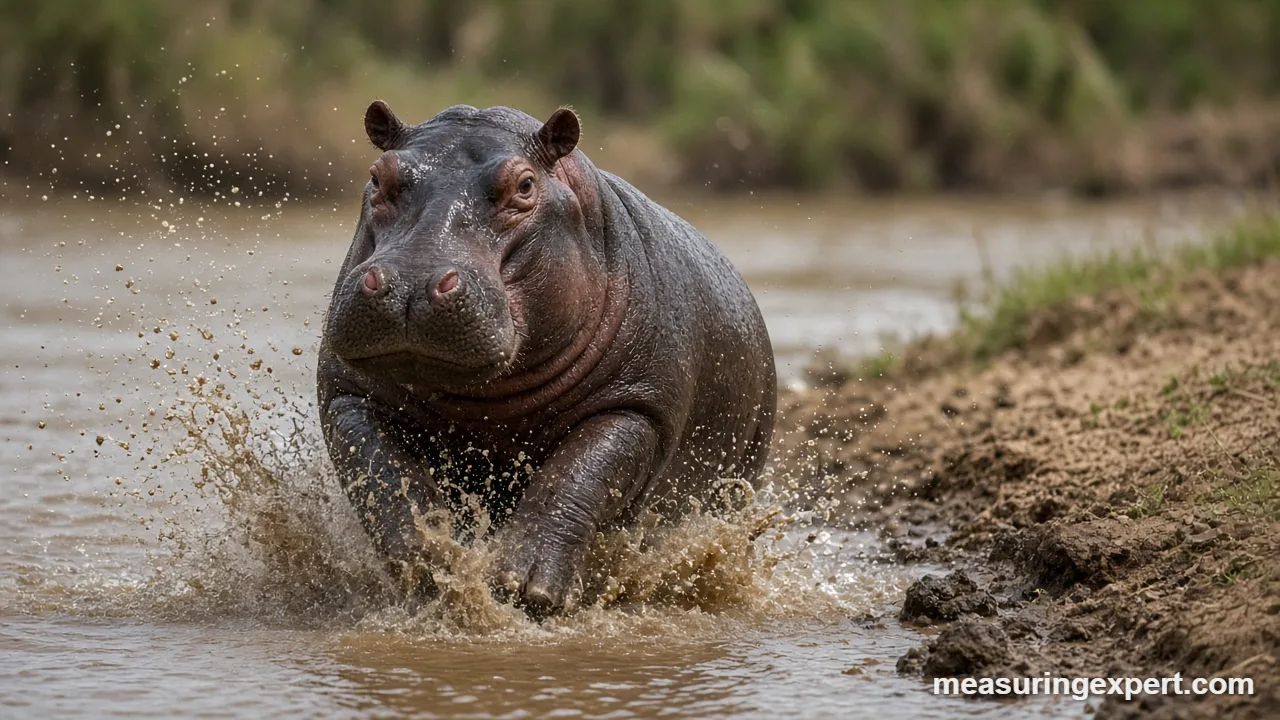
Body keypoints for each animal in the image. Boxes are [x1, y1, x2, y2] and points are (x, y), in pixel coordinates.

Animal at [317, 100, 776, 615]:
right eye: (378, 176)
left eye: (524, 185)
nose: (412, 281)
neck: (487, 400)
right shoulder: (349, 395)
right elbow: (384, 478)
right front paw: (432, 562)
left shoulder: (638, 406)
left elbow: (576, 476)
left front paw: (524, 586)